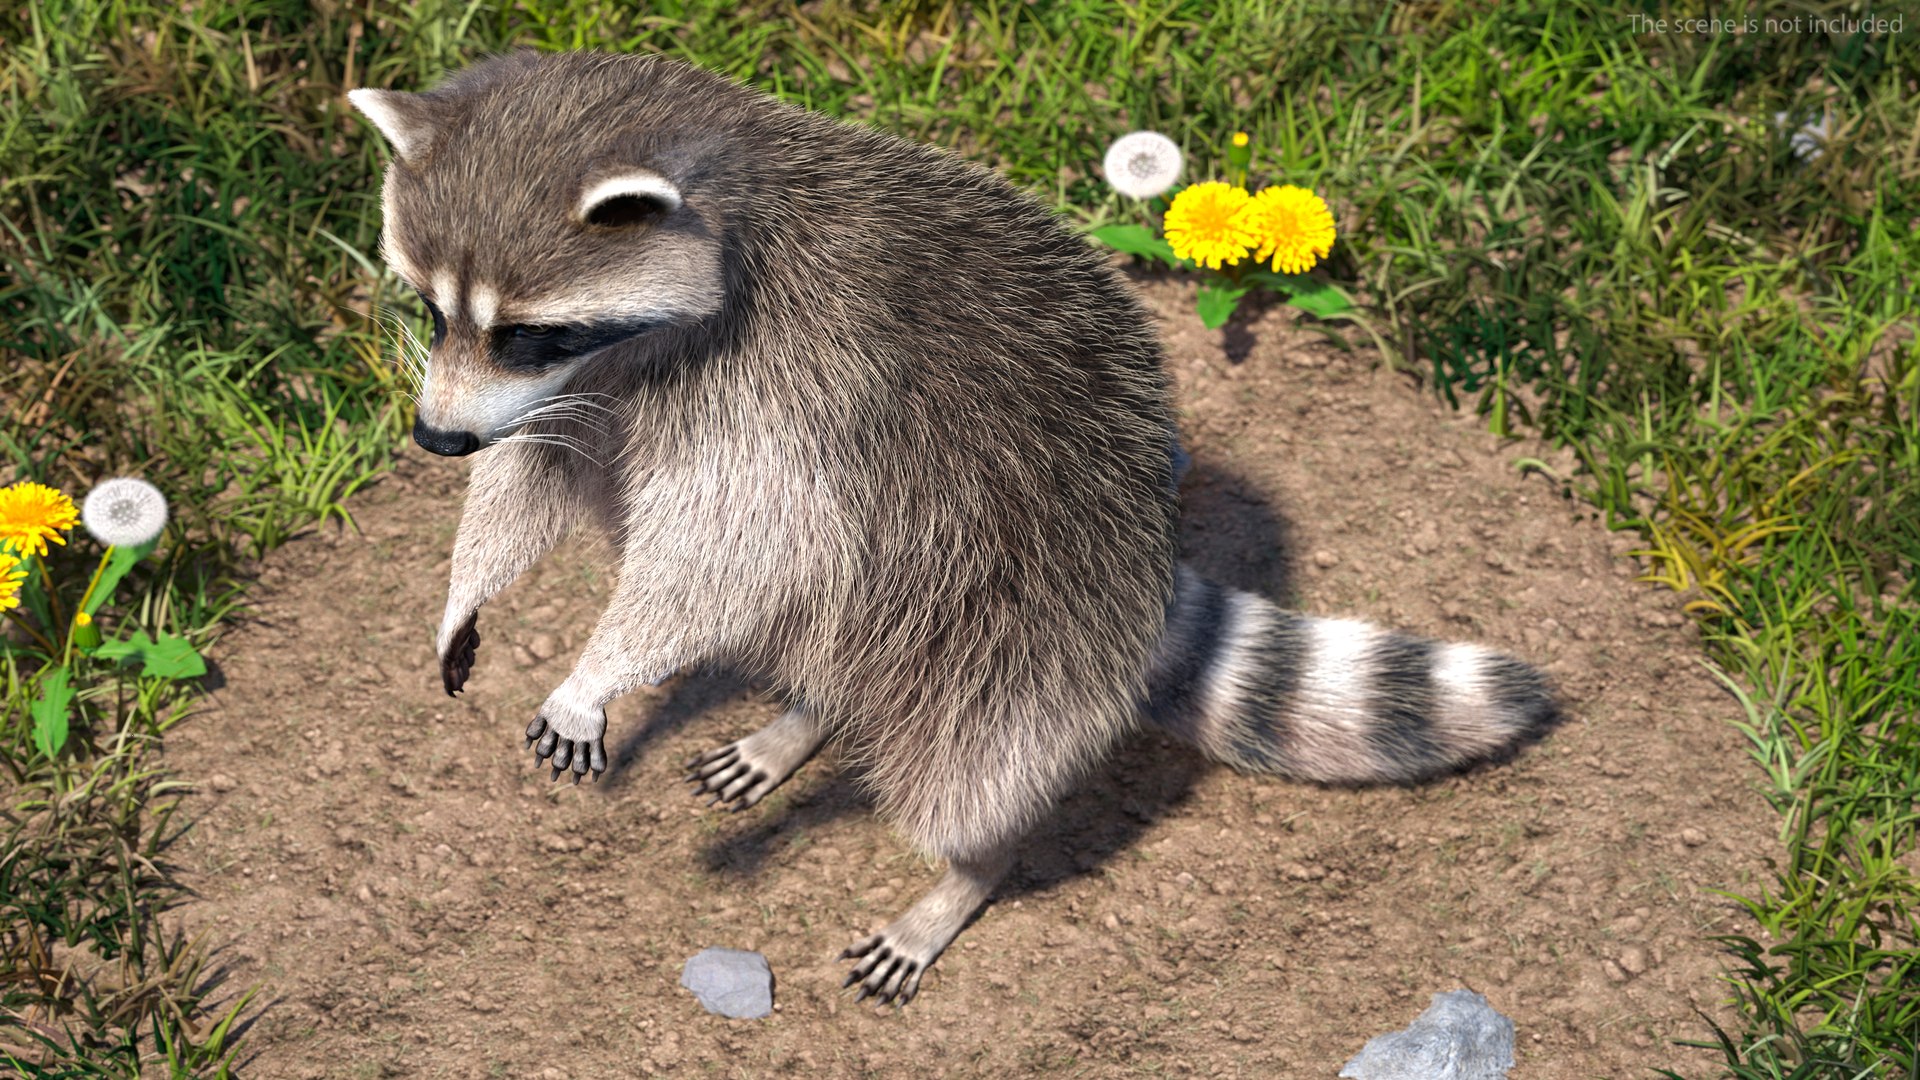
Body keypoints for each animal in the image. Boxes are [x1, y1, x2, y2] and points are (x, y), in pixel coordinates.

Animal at [347, 50, 1559, 1006]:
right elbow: (540, 469)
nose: (432, 439)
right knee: (823, 620)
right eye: (432, 310)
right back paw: (808, 717)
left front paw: (595, 670)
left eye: (529, 331)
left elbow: (726, 553)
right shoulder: (605, 388)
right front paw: (468, 583)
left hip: (1022, 606)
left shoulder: (799, 387)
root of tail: (1149, 555)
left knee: (972, 761)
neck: (734, 216)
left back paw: (963, 876)